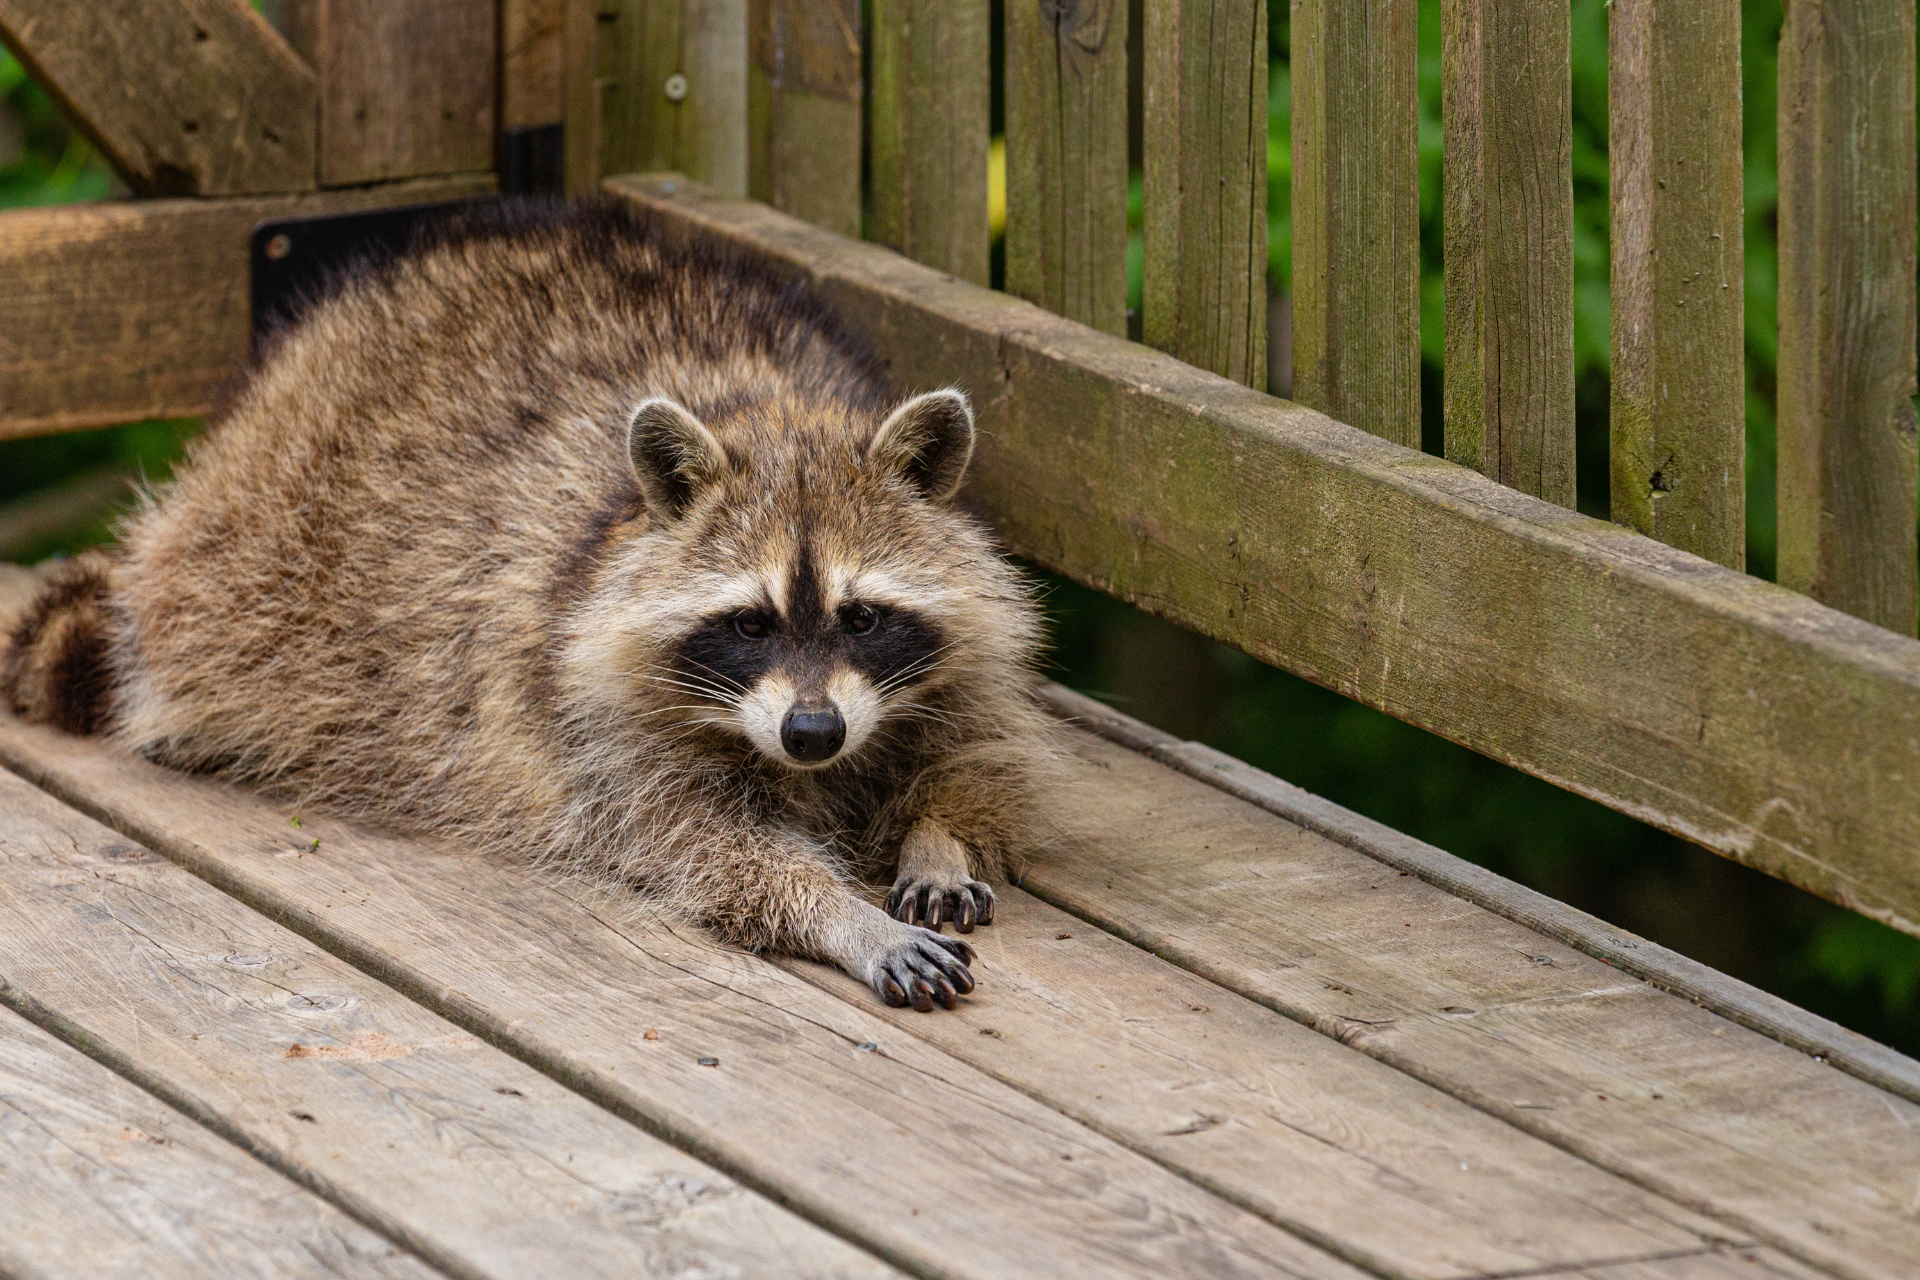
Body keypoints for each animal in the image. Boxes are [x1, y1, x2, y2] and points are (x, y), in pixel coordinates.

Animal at [0, 202, 1059, 1013]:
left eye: (861, 616)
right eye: (751, 622)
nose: (811, 733)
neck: (766, 407)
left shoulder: (945, 665)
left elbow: (981, 754)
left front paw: (939, 835)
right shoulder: (598, 726)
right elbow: (708, 851)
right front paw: (840, 914)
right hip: (254, 546)